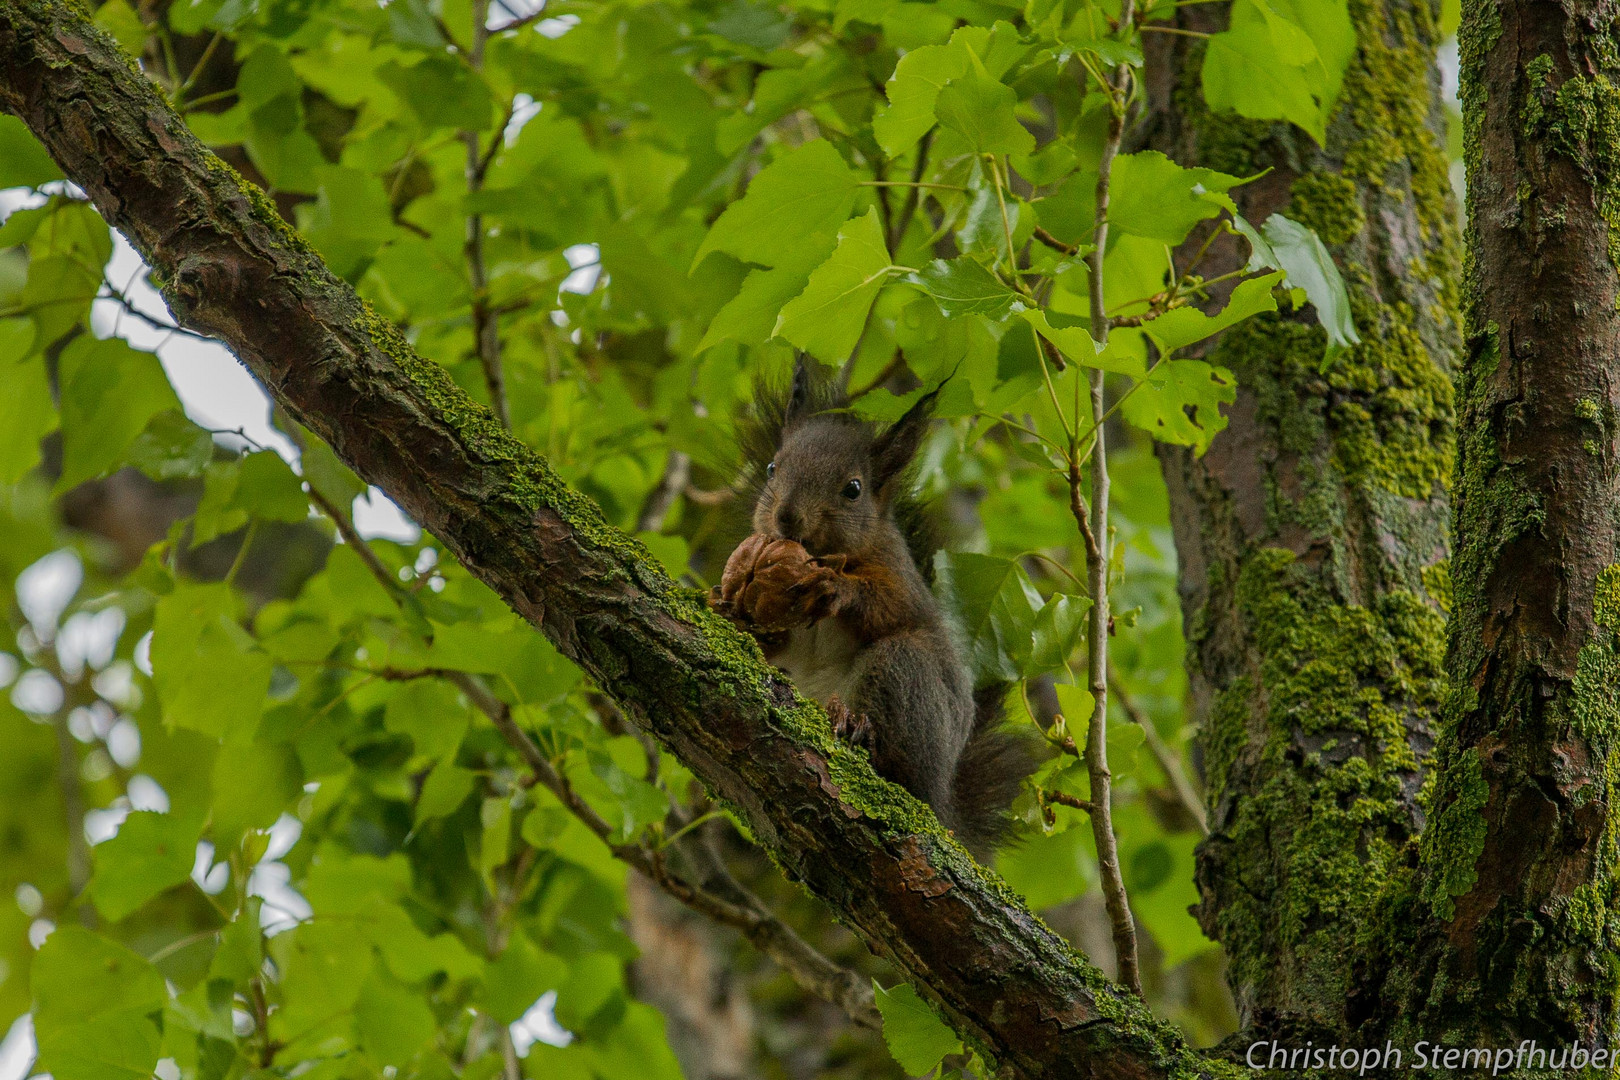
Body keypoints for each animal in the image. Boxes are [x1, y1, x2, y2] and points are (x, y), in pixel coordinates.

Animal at [709, 359, 1036, 854]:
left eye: (853, 489)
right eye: (770, 468)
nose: (786, 517)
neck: (822, 553)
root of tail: (942, 801)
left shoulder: (899, 575)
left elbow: (889, 605)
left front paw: (839, 589)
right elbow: (772, 637)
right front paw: (729, 610)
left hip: (906, 675)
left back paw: (858, 731)